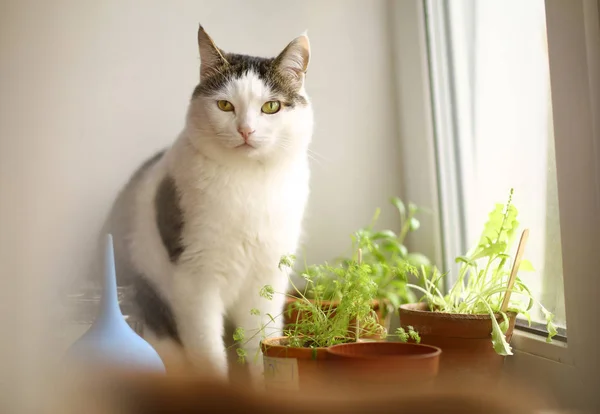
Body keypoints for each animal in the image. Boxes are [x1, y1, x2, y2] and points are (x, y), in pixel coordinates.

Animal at [97, 24, 314, 384]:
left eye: (271, 107)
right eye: (225, 105)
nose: (246, 130)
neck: (249, 183)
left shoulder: (267, 279)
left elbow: (262, 346)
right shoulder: (194, 283)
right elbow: (209, 355)